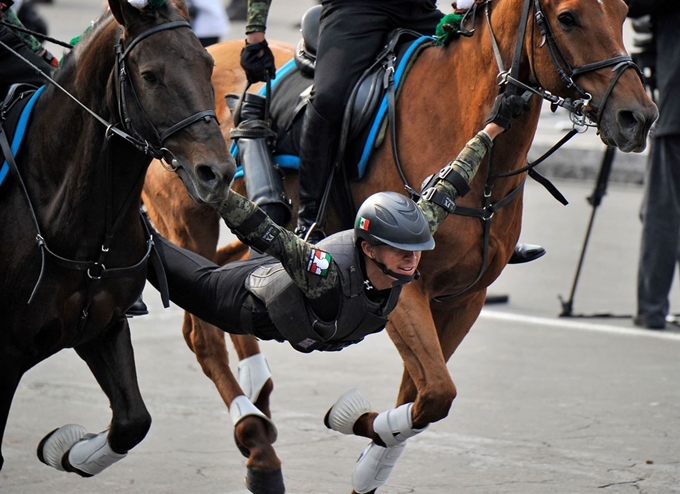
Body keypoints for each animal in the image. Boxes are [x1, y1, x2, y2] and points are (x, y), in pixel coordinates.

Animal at [0, 0, 234, 476]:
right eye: (150, 75)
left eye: (207, 63)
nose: (216, 173)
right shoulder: (5, 355)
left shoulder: (102, 327)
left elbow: (132, 421)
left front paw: (66, 448)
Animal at [142, 1, 652, 492]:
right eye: (567, 18)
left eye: (625, 12)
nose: (639, 117)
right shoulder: (407, 291)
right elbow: (436, 393)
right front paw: (356, 425)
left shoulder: (464, 299)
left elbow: (423, 395)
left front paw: (372, 457)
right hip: (189, 223)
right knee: (201, 331)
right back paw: (255, 440)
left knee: (232, 277)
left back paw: (257, 385)